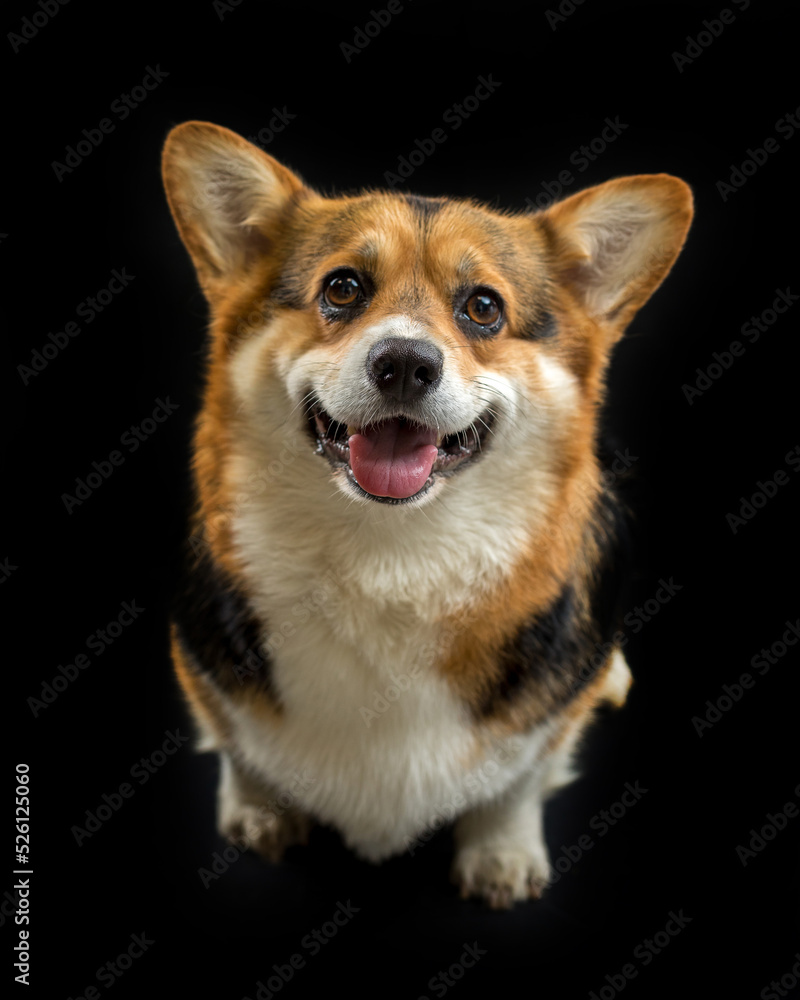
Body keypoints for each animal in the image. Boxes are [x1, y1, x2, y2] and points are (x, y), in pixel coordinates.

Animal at [161, 121, 692, 912]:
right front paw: (258, 812)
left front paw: (501, 856)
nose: (406, 364)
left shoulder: (548, 714)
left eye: (483, 307)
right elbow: (240, 746)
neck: (391, 554)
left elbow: (517, 782)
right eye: (343, 287)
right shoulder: (205, 664)